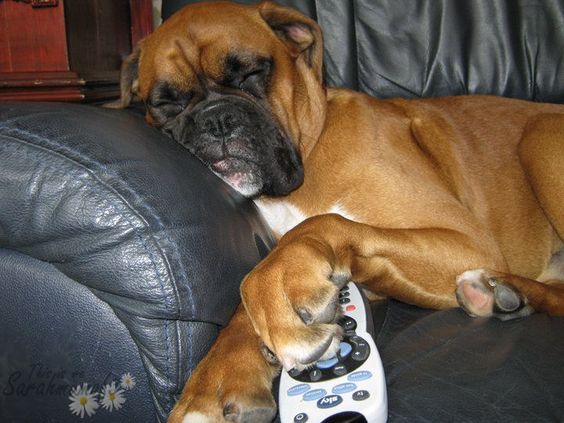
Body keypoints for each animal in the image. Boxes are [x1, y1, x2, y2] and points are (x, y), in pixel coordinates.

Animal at [109, 1, 564, 422]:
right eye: (165, 102)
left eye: (253, 72)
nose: (216, 119)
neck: (308, 152)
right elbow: (242, 309)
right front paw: (218, 376)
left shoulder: (466, 242)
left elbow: (318, 226)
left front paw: (279, 283)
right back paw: (503, 293)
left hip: (540, 138)